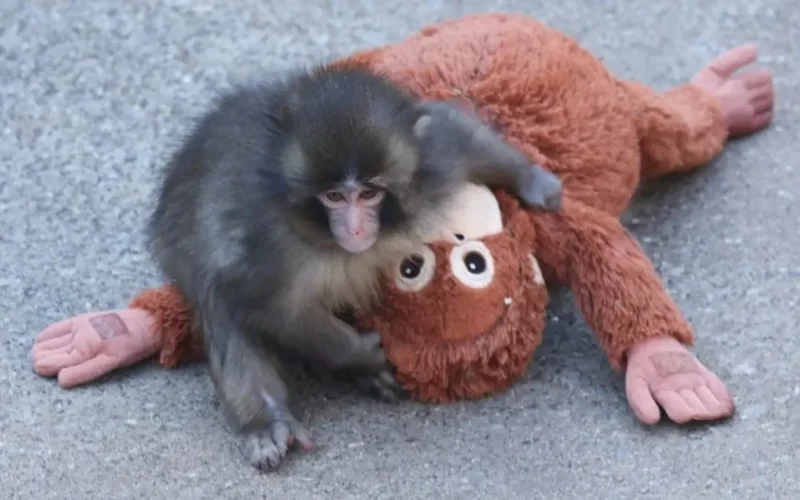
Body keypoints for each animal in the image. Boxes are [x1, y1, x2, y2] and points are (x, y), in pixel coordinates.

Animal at [146, 63, 562, 471]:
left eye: (368, 193)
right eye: (333, 196)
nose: (355, 228)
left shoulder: (431, 163)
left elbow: (455, 133)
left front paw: (533, 180)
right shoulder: (264, 243)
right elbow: (270, 307)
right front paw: (360, 353)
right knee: (218, 301)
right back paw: (267, 420)